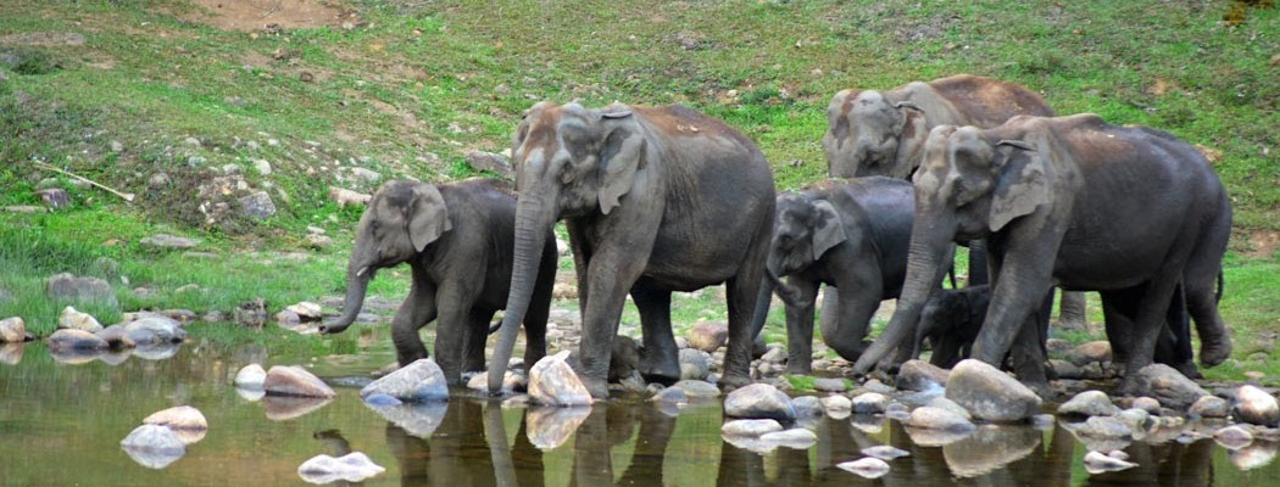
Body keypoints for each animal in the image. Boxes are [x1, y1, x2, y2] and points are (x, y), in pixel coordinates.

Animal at [321, 178, 557, 385]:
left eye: (375, 226)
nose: (322, 328)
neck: (428, 190)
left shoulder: (468, 245)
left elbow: (449, 303)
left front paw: (448, 381)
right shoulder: (422, 256)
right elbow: (423, 301)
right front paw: (417, 361)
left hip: (546, 261)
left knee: (535, 317)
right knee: (478, 319)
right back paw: (472, 374)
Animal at [490, 101, 776, 398]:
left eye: (567, 172)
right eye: (515, 165)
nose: (498, 390)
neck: (597, 120)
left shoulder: (642, 191)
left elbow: (609, 268)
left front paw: (590, 387)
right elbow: (586, 268)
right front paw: (607, 369)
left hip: (763, 218)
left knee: (742, 292)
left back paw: (733, 385)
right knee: (650, 292)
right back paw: (660, 374)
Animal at [749, 177, 914, 374]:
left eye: (786, 239)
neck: (812, 197)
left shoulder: (855, 244)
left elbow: (866, 294)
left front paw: (873, 354)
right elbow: (801, 298)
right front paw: (797, 374)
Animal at [852, 114, 1233, 395]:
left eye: (961, 194)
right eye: (914, 184)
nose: (863, 373)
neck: (999, 136)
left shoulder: (1050, 209)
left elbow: (1022, 283)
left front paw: (973, 375)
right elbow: (1006, 282)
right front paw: (1034, 388)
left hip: (1188, 224)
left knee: (1172, 289)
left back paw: (1154, 379)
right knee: (1131, 296)